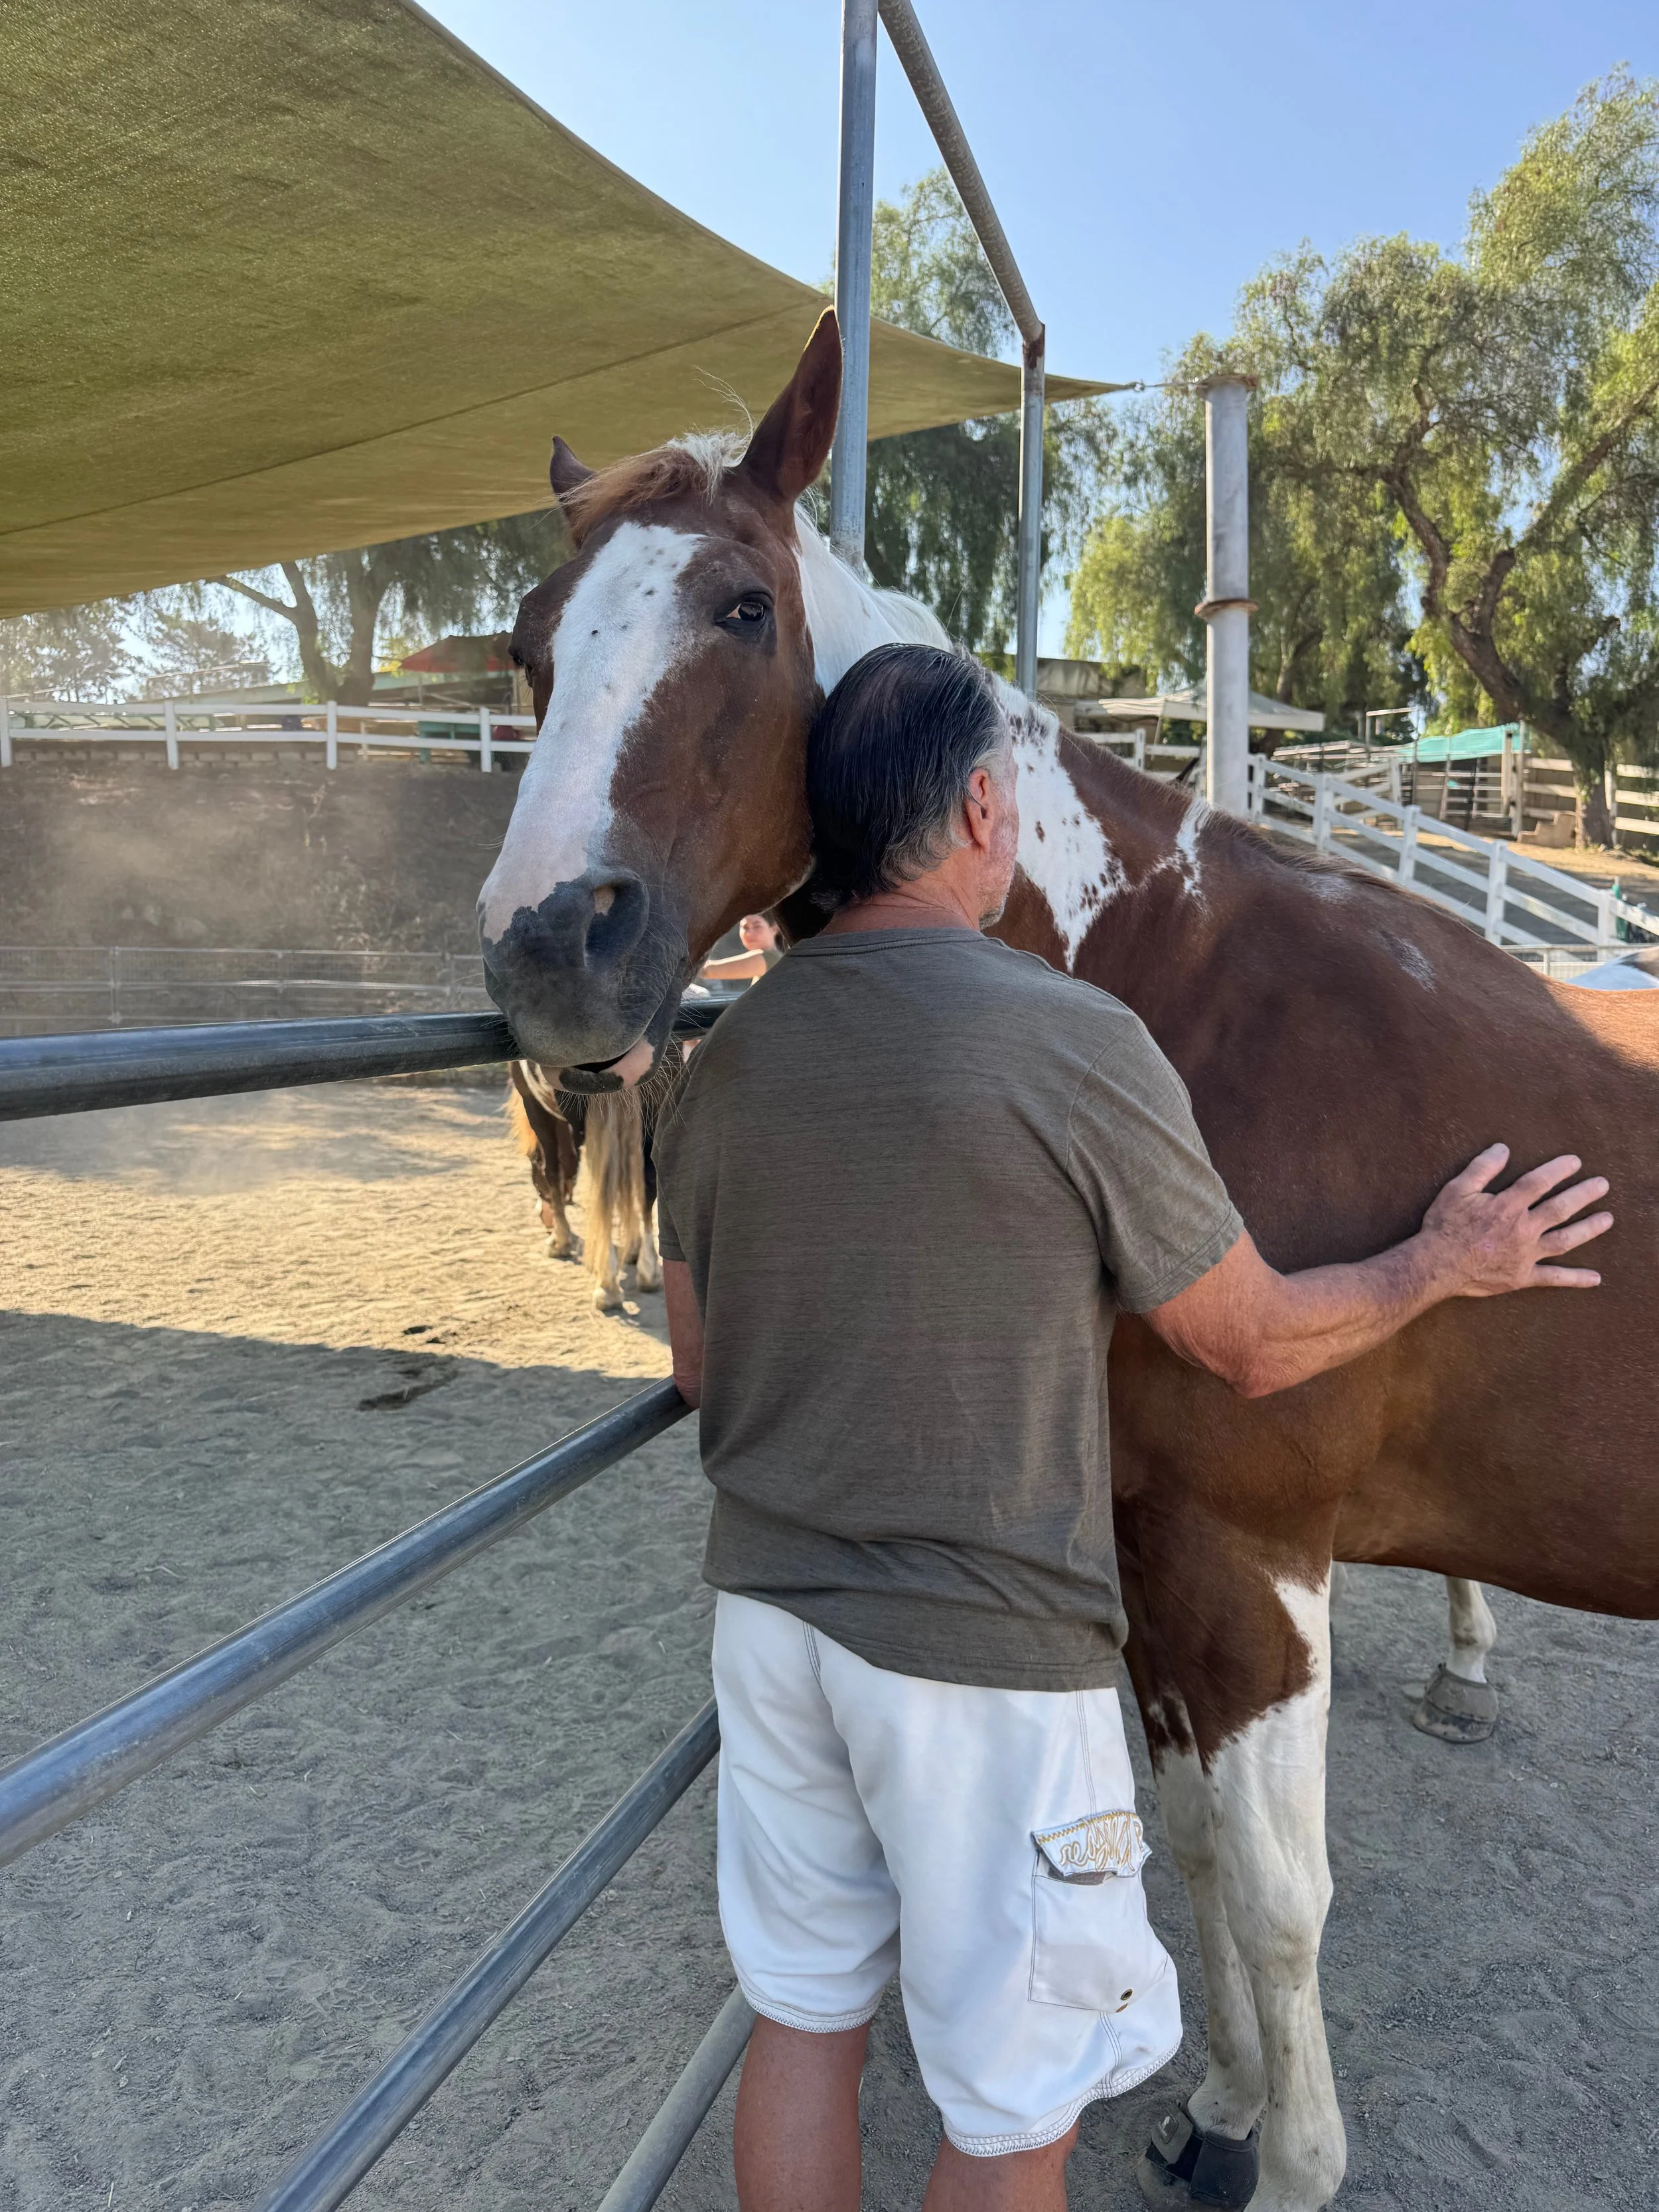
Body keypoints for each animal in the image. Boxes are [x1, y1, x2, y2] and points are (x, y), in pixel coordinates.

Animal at [507, 1062, 664, 1311]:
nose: (545, 1218)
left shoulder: (534, 1105)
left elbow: (552, 1171)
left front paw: (560, 1240)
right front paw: (633, 1248)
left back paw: (608, 1285)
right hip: (653, 1110)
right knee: (647, 1183)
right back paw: (649, 1272)